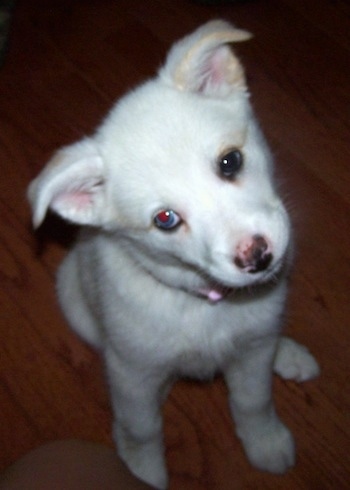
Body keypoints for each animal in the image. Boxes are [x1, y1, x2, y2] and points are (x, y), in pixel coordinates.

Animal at [28, 20, 320, 490]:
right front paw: (140, 470)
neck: (203, 304)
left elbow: (253, 401)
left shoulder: (252, 351)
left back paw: (288, 353)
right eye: (165, 219)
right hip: (75, 302)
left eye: (230, 161)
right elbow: (142, 427)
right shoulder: (133, 373)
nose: (257, 257)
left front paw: (265, 441)